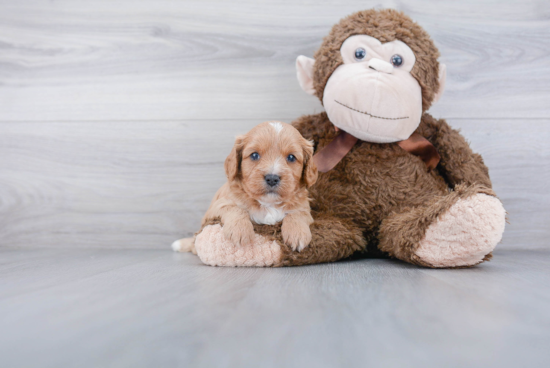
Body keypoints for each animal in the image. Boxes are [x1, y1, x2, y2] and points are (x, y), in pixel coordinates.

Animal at [172, 122, 320, 254]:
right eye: (254, 155)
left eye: (291, 157)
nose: (272, 178)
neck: (268, 204)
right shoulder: (216, 207)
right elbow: (235, 208)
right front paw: (240, 231)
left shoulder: (304, 209)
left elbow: (297, 214)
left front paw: (298, 234)